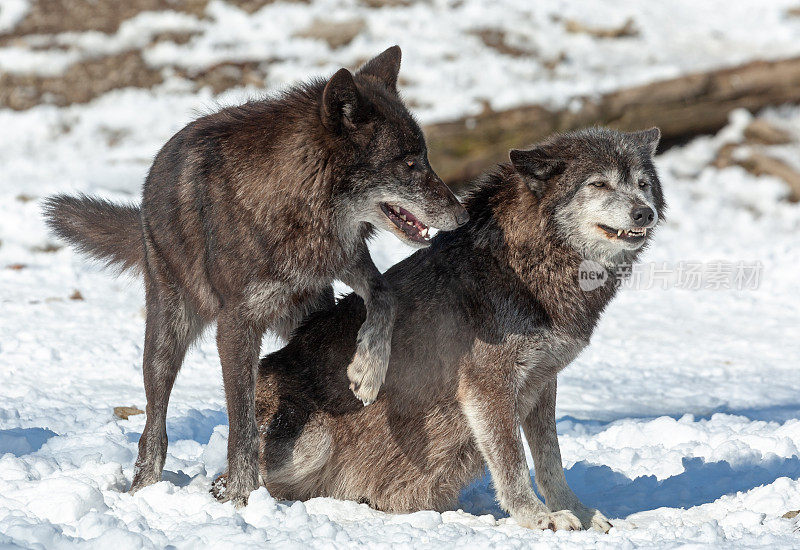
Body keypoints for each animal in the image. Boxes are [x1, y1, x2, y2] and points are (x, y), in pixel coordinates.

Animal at [42, 47, 468, 508]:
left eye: (424, 157)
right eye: (408, 163)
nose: (463, 215)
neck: (298, 207)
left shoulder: (344, 264)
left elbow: (385, 295)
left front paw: (367, 370)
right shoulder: (236, 324)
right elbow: (243, 425)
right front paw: (241, 498)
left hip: (301, 310)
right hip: (167, 335)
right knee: (153, 426)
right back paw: (143, 488)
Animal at [236, 127, 664, 532]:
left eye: (642, 184)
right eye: (599, 184)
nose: (644, 213)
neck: (532, 263)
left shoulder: (543, 382)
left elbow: (550, 460)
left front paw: (577, 512)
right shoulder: (487, 385)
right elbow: (512, 462)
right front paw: (537, 517)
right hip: (312, 437)